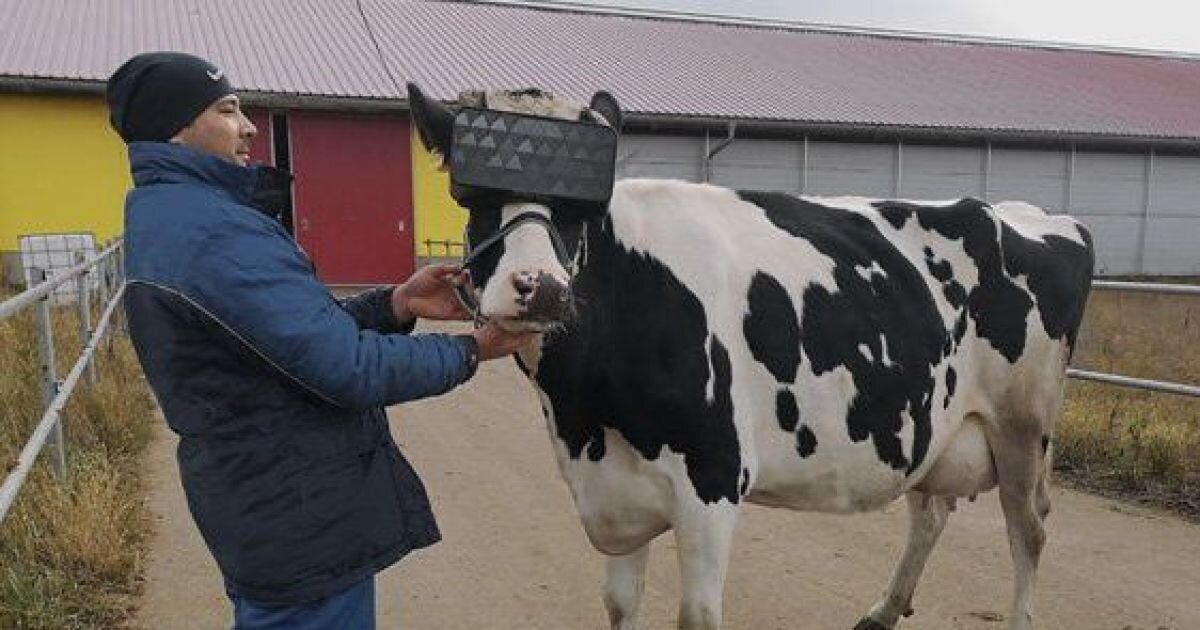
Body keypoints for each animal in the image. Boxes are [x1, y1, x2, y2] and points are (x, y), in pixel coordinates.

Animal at [408, 84, 1094, 628]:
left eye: (585, 207)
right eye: (470, 196)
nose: (541, 287)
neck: (586, 417)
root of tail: (1032, 213)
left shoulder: (712, 482)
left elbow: (697, 616)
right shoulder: (614, 493)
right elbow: (620, 606)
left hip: (1022, 425)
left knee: (1028, 528)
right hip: (936, 420)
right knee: (931, 511)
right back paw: (882, 610)